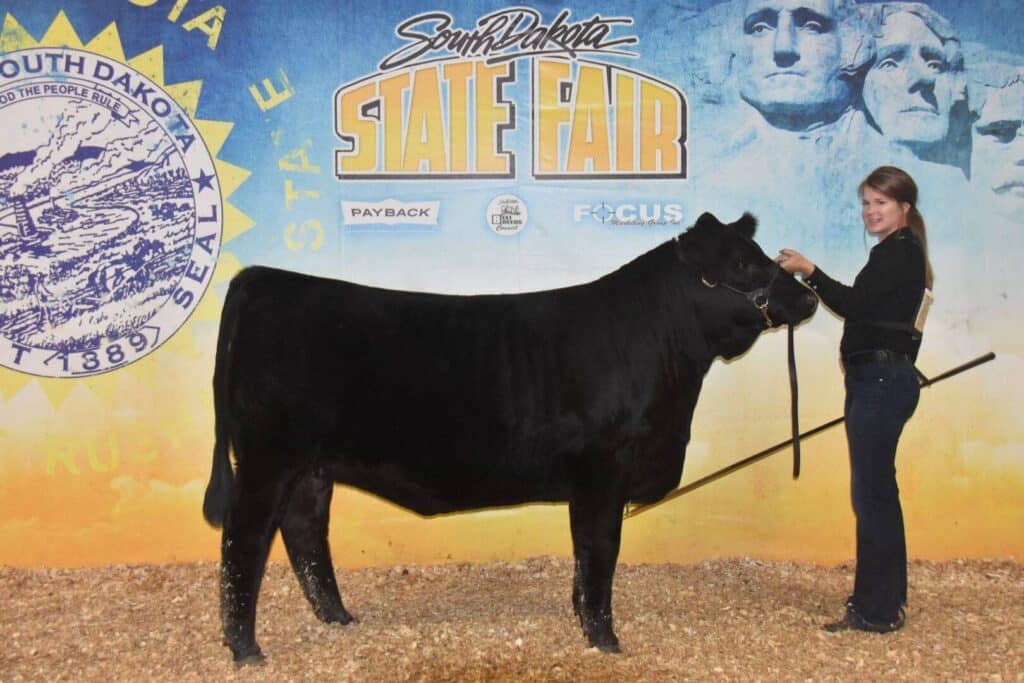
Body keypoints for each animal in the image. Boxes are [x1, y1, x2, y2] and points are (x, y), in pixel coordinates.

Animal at [202, 211, 818, 663]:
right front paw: (605, 639)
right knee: (244, 540)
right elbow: (600, 548)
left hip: (311, 467)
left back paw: (339, 619)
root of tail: (264, 277)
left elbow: (585, 554)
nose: (810, 297)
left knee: (305, 533)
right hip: (267, 457)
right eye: (741, 262)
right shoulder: (604, 467)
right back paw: (246, 648)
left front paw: (584, 621)